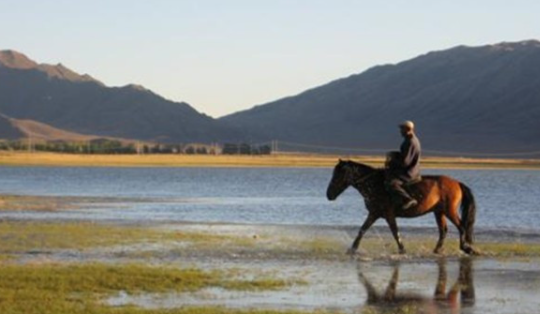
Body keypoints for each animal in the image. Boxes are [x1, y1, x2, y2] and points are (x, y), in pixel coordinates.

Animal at [324, 159, 476, 255]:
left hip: (450, 211)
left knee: (461, 227)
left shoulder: (388, 214)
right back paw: (437, 251)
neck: (374, 184)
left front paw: (402, 250)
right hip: (439, 212)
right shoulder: (374, 214)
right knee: (443, 230)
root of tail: (457, 183)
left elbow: (395, 232)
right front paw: (352, 250)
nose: (329, 195)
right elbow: (362, 230)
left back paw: (466, 248)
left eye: (337, 175)